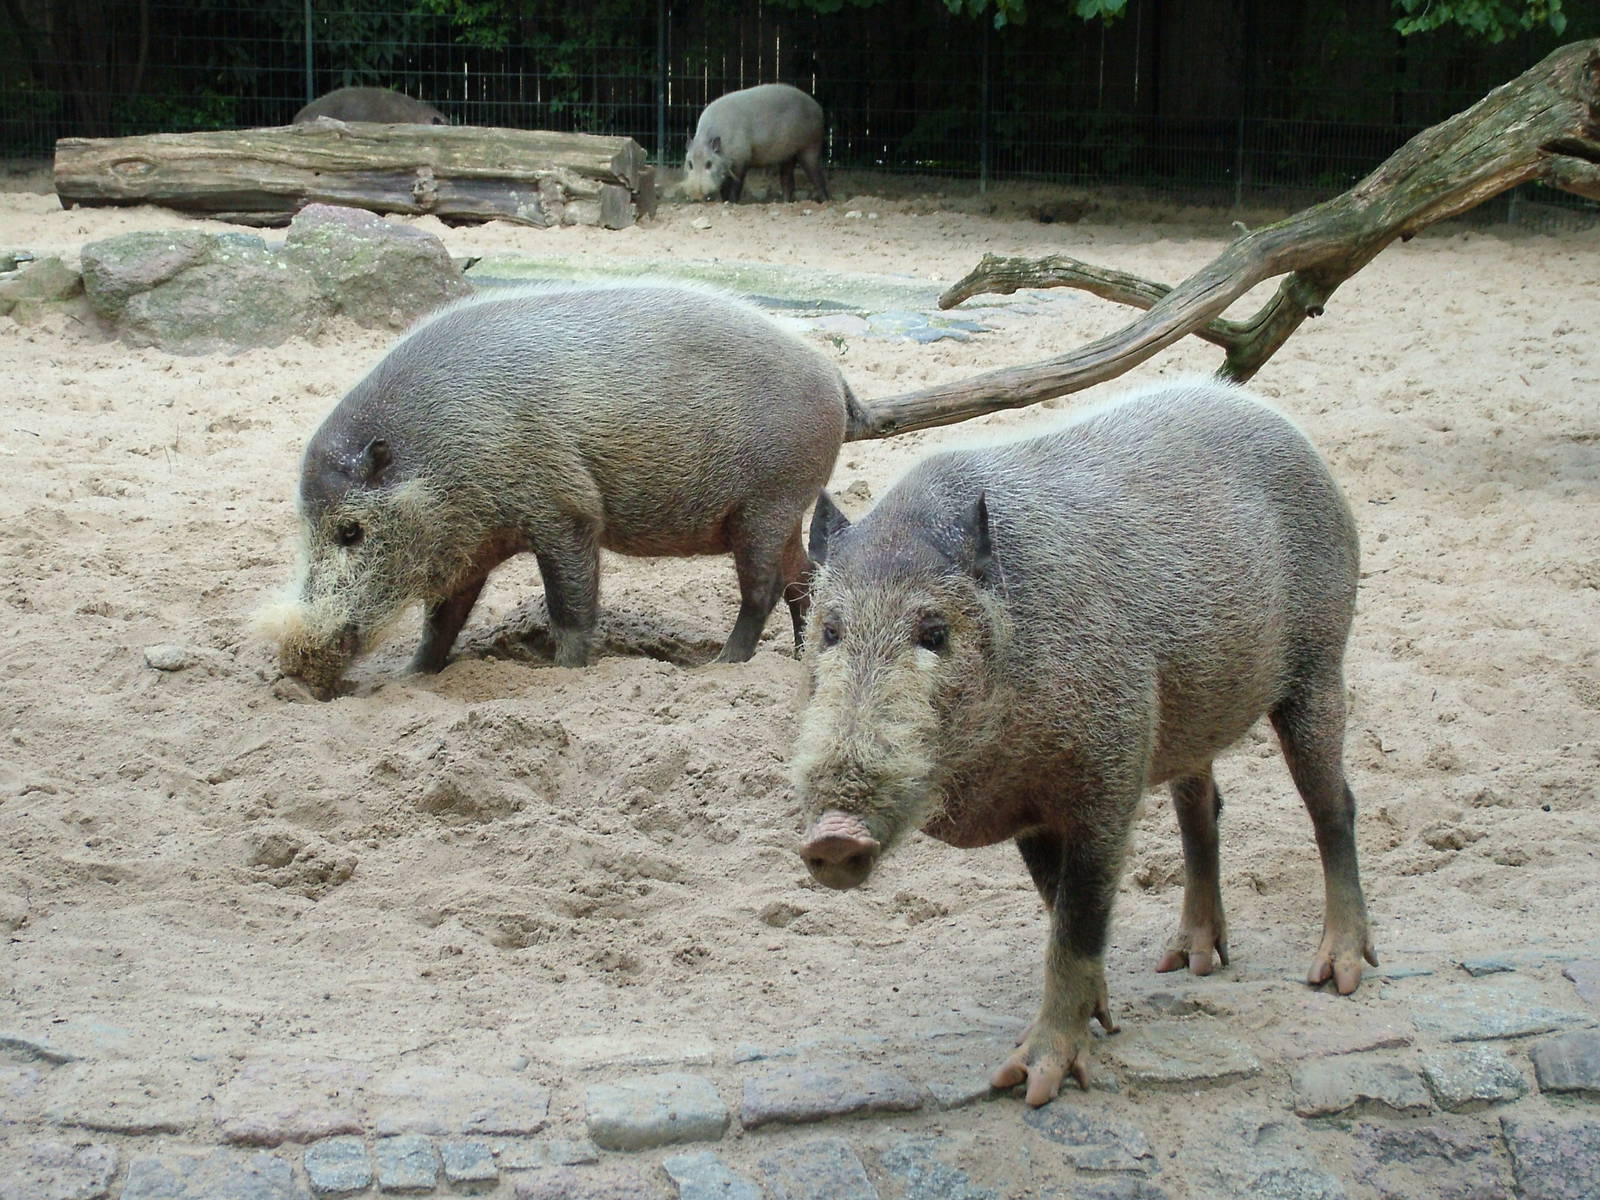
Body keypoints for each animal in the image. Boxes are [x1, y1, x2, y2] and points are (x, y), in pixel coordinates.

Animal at [259, 282, 861, 696]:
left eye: (350, 530)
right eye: (304, 524)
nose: (295, 669)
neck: (440, 458)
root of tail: (833, 377)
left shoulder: (566, 510)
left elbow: (568, 605)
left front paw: (564, 672)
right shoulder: (470, 546)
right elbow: (441, 621)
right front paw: (411, 677)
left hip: (768, 502)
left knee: (763, 589)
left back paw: (721, 664)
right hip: (787, 508)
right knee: (805, 580)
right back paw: (798, 658)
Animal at [680, 83, 828, 203]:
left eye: (709, 164)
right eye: (690, 164)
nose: (696, 195)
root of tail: (818, 108)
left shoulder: (742, 159)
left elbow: (736, 184)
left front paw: (732, 202)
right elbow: (724, 188)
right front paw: (724, 202)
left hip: (811, 145)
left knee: (817, 176)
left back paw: (826, 201)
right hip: (788, 156)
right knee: (787, 180)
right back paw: (785, 203)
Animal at [792, 380, 1377, 1107]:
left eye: (934, 632)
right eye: (830, 631)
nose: (833, 835)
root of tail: (1277, 420)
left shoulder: (1109, 776)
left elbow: (1078, 921)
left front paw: (1032, 1085)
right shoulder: (1032, 809)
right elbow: (1055, 908)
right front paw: (1103, 1020)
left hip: (1321, 662)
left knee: (1335, 807)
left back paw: (1337, 974)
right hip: (1191, 717)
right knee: (1202, 813)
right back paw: (1186, 963)